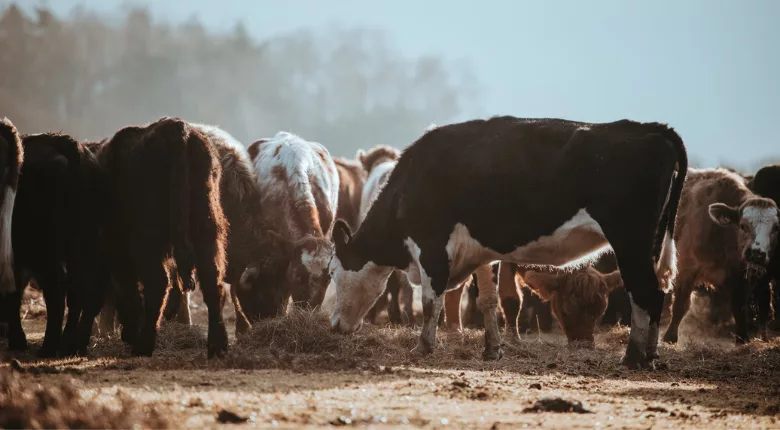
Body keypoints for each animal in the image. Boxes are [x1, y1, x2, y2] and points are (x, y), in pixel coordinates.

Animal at [1, 133, 105, 357]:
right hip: (85, 244)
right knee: (85, 288)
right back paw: (73, 345)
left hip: (44, 250)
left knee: (57, 289)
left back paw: (49, 346)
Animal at [95, 117, 229, 358]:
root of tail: (177, 129)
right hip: (207, 229)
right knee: (212, 281)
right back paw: (217, 347)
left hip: (149, 240)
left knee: (158, 283)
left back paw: (143, 344)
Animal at [328, 116, 687, 370]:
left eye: (332, 272)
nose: (333, 326)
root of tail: (652, 129)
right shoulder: (481, 253)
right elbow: (488, 301)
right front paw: (492, 349)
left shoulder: (431, 248)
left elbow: (431, 300)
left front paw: (423, 347)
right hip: (650, 245)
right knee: (657, 295)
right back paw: (650, 356)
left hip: (631, 243)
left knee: (645, 294)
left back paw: (632, 357)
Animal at [662, 168, 780, 345]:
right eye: (743, 226)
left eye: (776, 228)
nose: (756, 253)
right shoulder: (687, 267)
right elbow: (681, 304)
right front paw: (669, 337)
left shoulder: (743, 277)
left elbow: (739, 308)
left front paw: (742, 339)